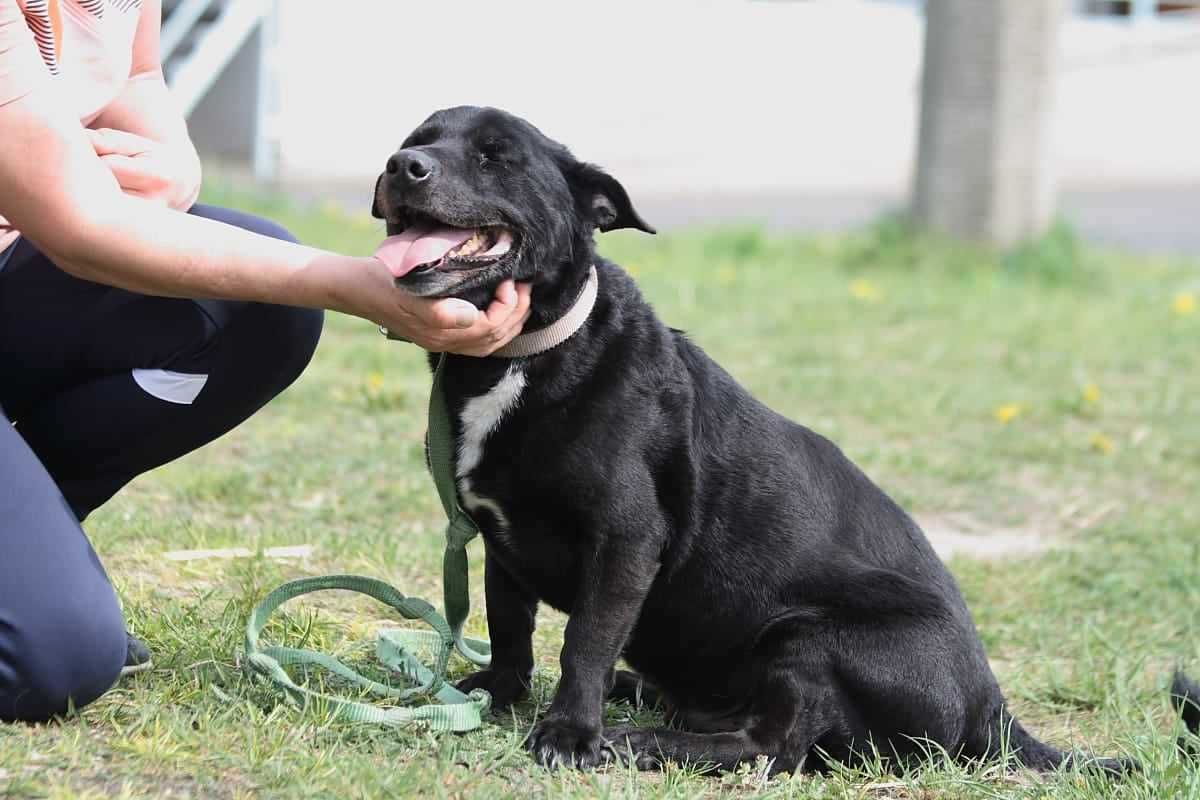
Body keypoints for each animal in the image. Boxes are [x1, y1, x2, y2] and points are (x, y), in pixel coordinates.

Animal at [369, 106, 1195, 777]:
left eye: (496, 156)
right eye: (419, 137)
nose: (402, 165)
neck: (522, 359)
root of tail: (991, 712)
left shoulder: (625, 542)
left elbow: (585, 642)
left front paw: (569, 734)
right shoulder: (496, 538)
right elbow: (510, 629)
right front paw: (496, 696)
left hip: (809, 637)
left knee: (775, 747)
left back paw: (644, 739)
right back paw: (642, 697)